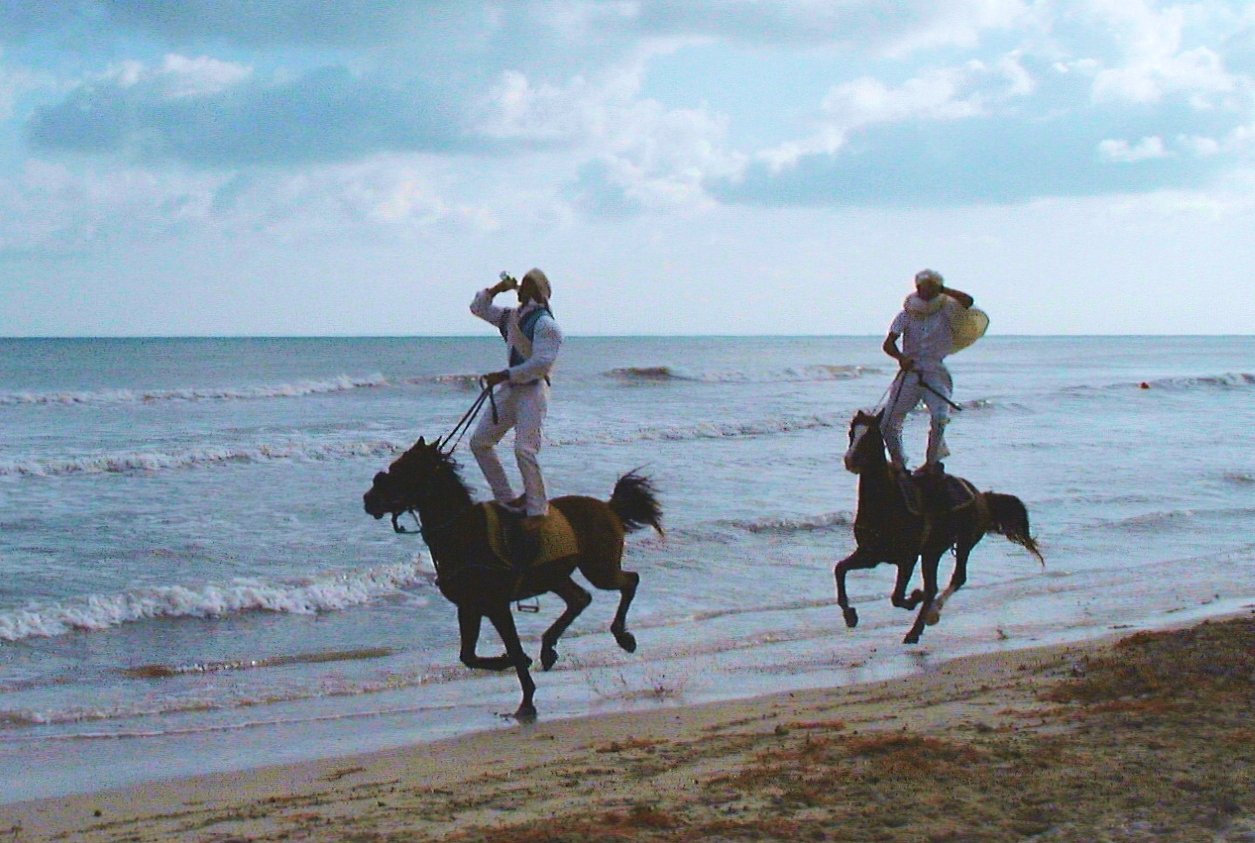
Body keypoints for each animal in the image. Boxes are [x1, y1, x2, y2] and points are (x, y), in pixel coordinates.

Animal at [363, 439, 662, 722]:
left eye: (404, 470)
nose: (368, 499)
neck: (462, 532)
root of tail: (608, 506)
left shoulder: (496, 605)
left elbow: (513, 650)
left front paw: (526, 701)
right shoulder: (469, 607)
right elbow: (468, 656)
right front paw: (513, 665)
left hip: (599, 568)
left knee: (629, 581)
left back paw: (622, 636)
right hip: (555, 576)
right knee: (580, 598)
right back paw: (548, 649)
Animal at [838, 411, 1044, 642]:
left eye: (871, 435)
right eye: (852, 433)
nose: (850, 460)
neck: (887, 503)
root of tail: (981, 496)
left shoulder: (907, 559)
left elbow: (897, 597)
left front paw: (914, 597)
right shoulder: (870, 554)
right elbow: (840, 569)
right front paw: (850, 615)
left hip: (962, 543)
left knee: (955, 578)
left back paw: (928, 618)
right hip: (933, 552)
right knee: (933, 587)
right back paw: (917, 628)